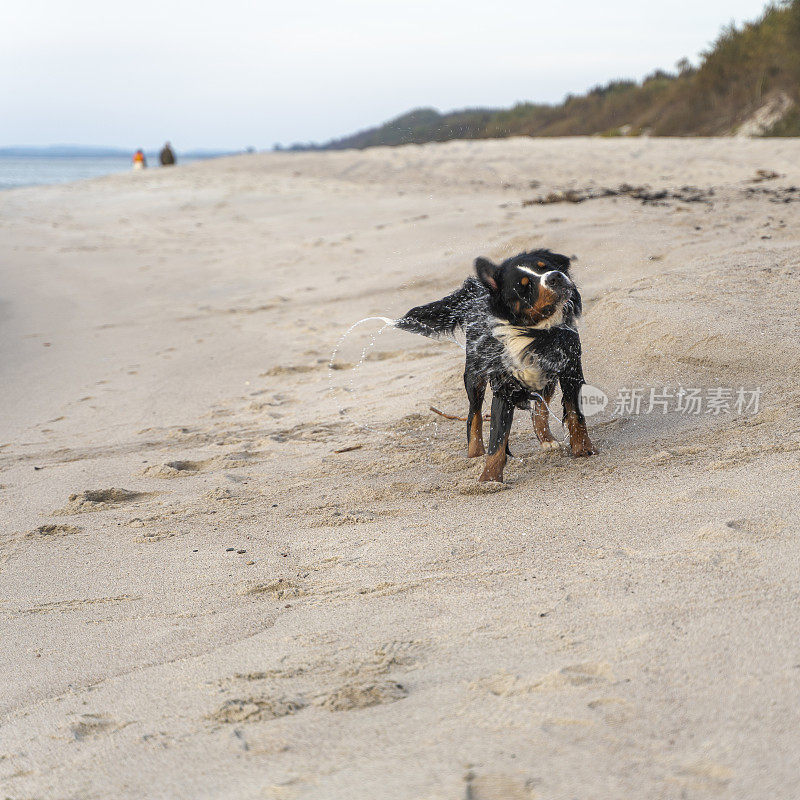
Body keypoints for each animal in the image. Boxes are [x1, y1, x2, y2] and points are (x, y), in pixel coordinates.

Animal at [394, 250, 592, 482]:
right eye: (523, 287)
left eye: (545, 266)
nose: (555, 277)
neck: (536, 333)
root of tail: (477, 288)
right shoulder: (504, 387)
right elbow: (496, 438)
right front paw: (488, 479)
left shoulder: (570, 369)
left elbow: (574, 414)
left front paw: (584, 449)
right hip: (474, 374)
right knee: (474, 415)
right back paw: (475, 453)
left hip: (545, 380)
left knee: (539, 409)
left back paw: (546, 439)